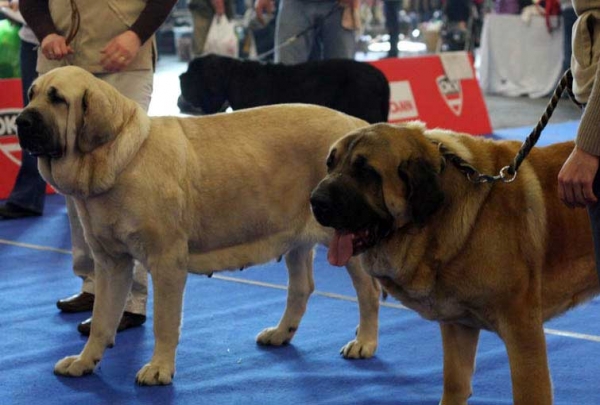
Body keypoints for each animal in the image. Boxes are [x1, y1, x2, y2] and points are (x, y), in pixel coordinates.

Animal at [16, 66, 382, 386]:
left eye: (57, 98)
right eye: (31, 94)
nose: (20, 120)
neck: (118, 161)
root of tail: (358, 124)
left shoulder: (166, 263)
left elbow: (164, 323)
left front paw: (159, 368)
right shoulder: (111, 263)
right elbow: (102, 320)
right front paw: (84, 362)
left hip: (346, 242)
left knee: (369, 292)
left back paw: (364, 342)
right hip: (293, 237)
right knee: (301, 288)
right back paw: (280, 334)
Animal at [310, 122, 600, 404]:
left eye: (365, 171)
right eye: (330, 164)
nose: (315, 201)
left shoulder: (523, 330)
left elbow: (530, 393)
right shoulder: (458, 326)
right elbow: (455, 384)